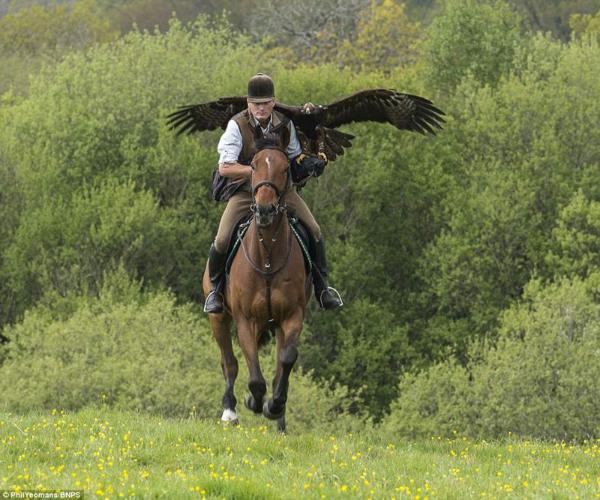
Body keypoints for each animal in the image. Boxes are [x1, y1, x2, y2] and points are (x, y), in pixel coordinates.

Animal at [204, 139, 312, 432]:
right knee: (229, 363)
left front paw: (274, 406)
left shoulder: (292, 316)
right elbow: (251, 372)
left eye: (285, 169)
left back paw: (279, 420)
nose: (265, 210)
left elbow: (286, 360)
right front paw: (254, 400)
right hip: (219, 318)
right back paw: (230, 411)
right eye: (253, 166)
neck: (267, 257)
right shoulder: (245, 319)